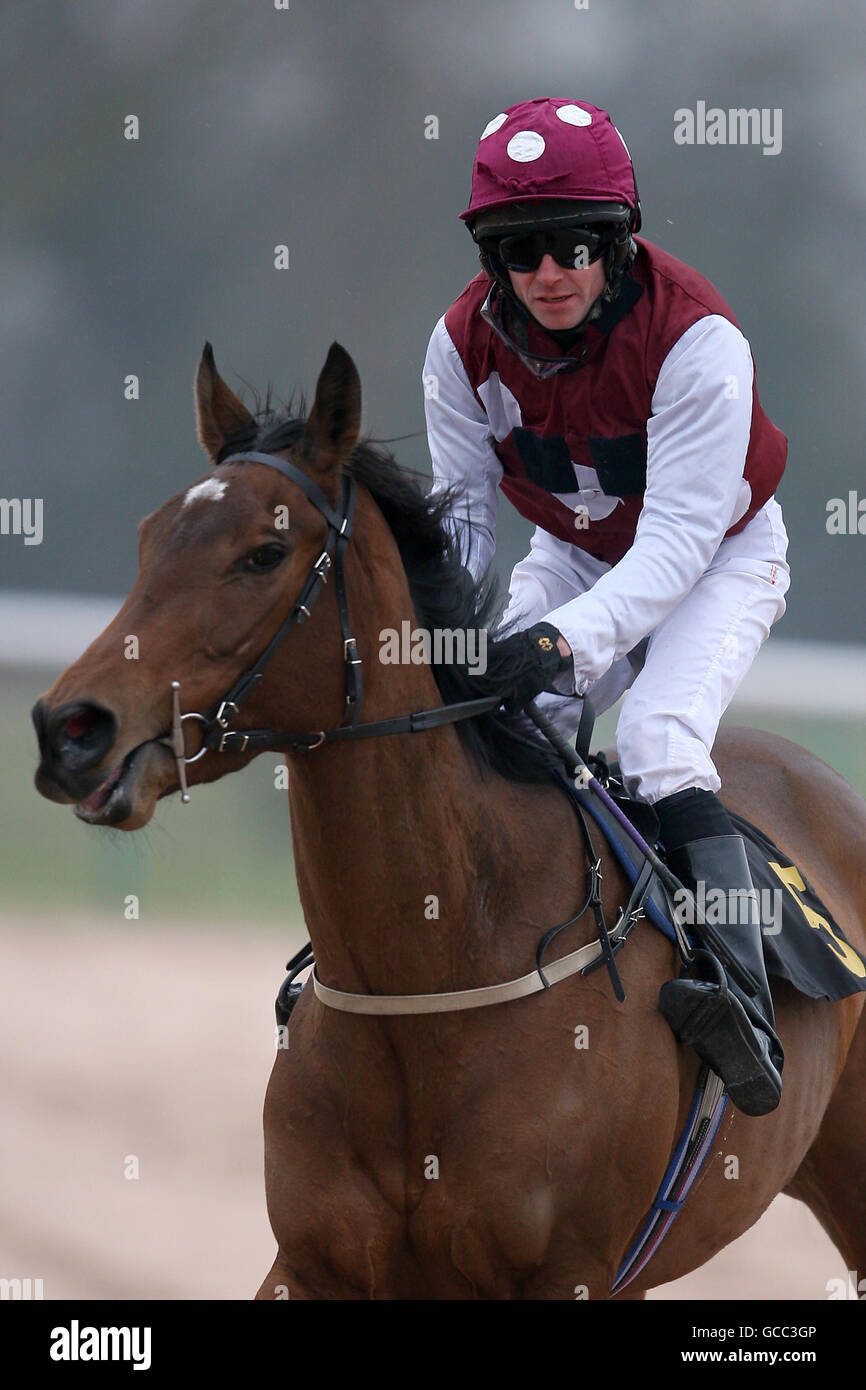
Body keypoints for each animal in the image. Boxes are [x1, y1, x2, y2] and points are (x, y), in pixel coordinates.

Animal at [32, 341, 866, 1295]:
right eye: (148, 538)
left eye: (264, 553)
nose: (70, 729)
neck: (431, 978)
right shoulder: (308, 1264)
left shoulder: (568, 1271)